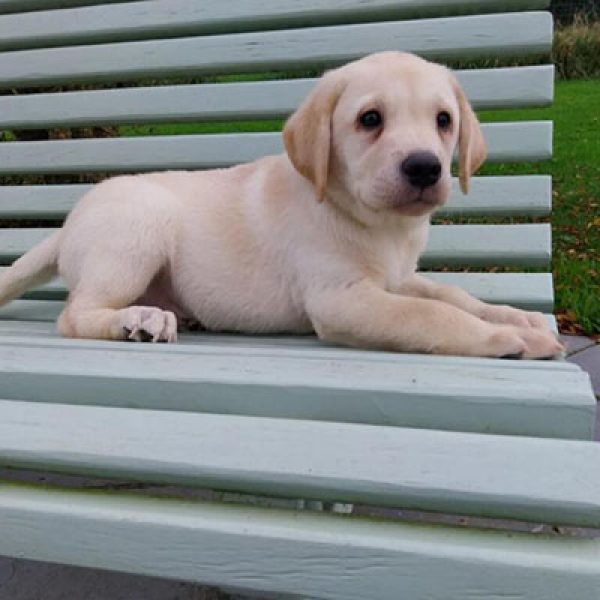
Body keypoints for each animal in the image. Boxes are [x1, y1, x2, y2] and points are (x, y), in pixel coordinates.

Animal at [0, 51, 564, 358]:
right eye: (370, 119)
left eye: (444, 120)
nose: (425, 168)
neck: (374, 224)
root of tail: (68, 223)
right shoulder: (341, 299)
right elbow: (431, 317)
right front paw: (511, 338)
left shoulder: (397, 278)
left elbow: (451, 295)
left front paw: (517, 317)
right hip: (137, 229)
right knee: (75, 315)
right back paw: (136, 321)